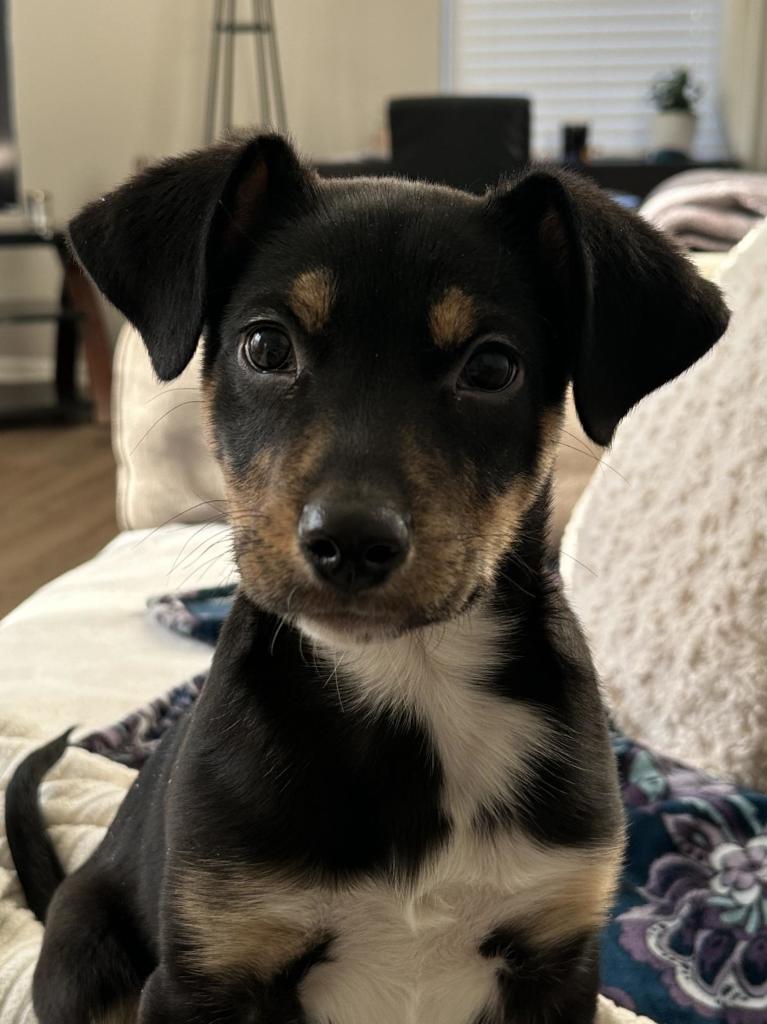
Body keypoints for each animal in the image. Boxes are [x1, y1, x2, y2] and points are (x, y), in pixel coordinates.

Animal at [4, 136, 725, 1024]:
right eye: (266, 347)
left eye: (492, 366)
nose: (350, 542)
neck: (412, 679)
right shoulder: (205, 968)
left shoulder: (557, 960)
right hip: (86, 952)